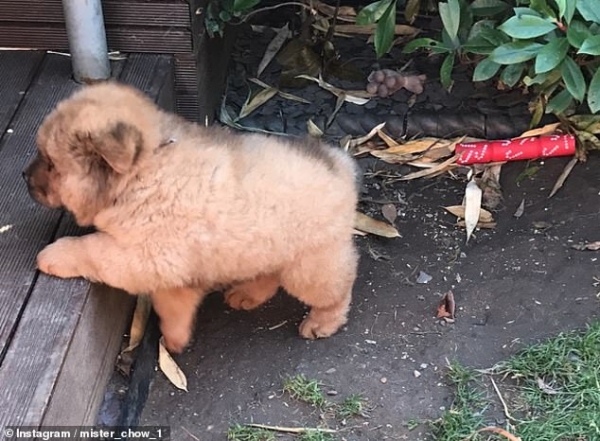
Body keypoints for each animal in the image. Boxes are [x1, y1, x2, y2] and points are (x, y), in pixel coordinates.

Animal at [24, 81, 356, 350]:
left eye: (51, 164)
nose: (24, 176)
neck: (143, 171)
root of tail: (341, 165)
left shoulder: (142, 256)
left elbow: (90, 249)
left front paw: (53, 255)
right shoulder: (172, 268)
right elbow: (173, 305)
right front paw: (175, 339)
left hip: (309, 266)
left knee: (338, 288)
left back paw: (321, 323)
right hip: (267, 250)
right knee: (269, 275)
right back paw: (246, 294)